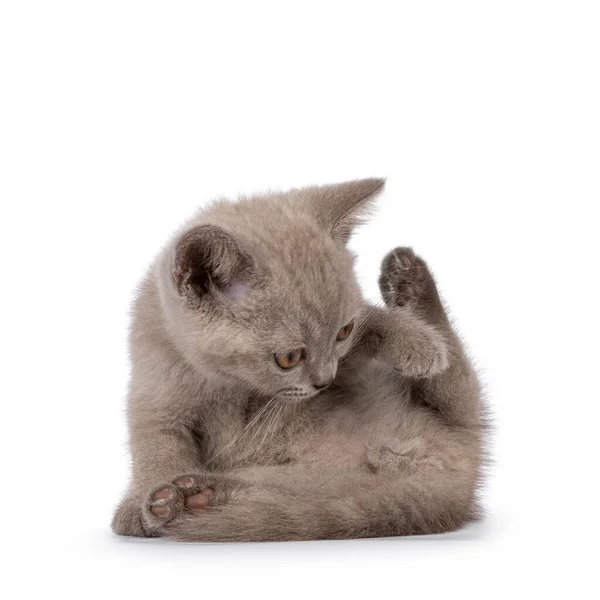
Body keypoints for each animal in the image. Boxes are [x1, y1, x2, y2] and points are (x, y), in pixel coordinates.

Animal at [112, 180, 488, 540]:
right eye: (288, 358)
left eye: (343, 331)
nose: (325, 381)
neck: (227, 381)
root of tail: (455, 477)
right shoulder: (156, 393)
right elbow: (157, 448)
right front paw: (145, 503)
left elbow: (370, 319)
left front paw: (416, 342)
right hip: (322, 490)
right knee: (279, 499)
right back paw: (194, 497)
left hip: (452, 421)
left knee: (455, 387)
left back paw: (409, 280)